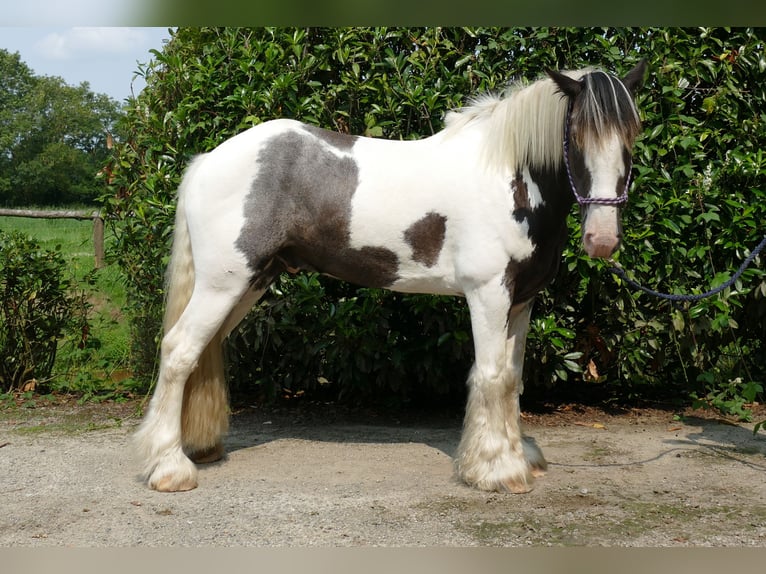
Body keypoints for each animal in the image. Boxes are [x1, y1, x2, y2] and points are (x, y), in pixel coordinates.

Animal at [136, 59, 648, 496]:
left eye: (631, 136)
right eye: (576, 136)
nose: (602, 239)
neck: (510, 177)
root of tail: (207, 160)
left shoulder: (520, 300)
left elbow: (514, 377)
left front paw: (519, 454)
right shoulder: (488, 294)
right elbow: (492, 375)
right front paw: (497, 470)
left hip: (249, 282)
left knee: (204, 351)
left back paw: (197, 450)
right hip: (224, 283)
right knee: (179, 351)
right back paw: (169, 468)